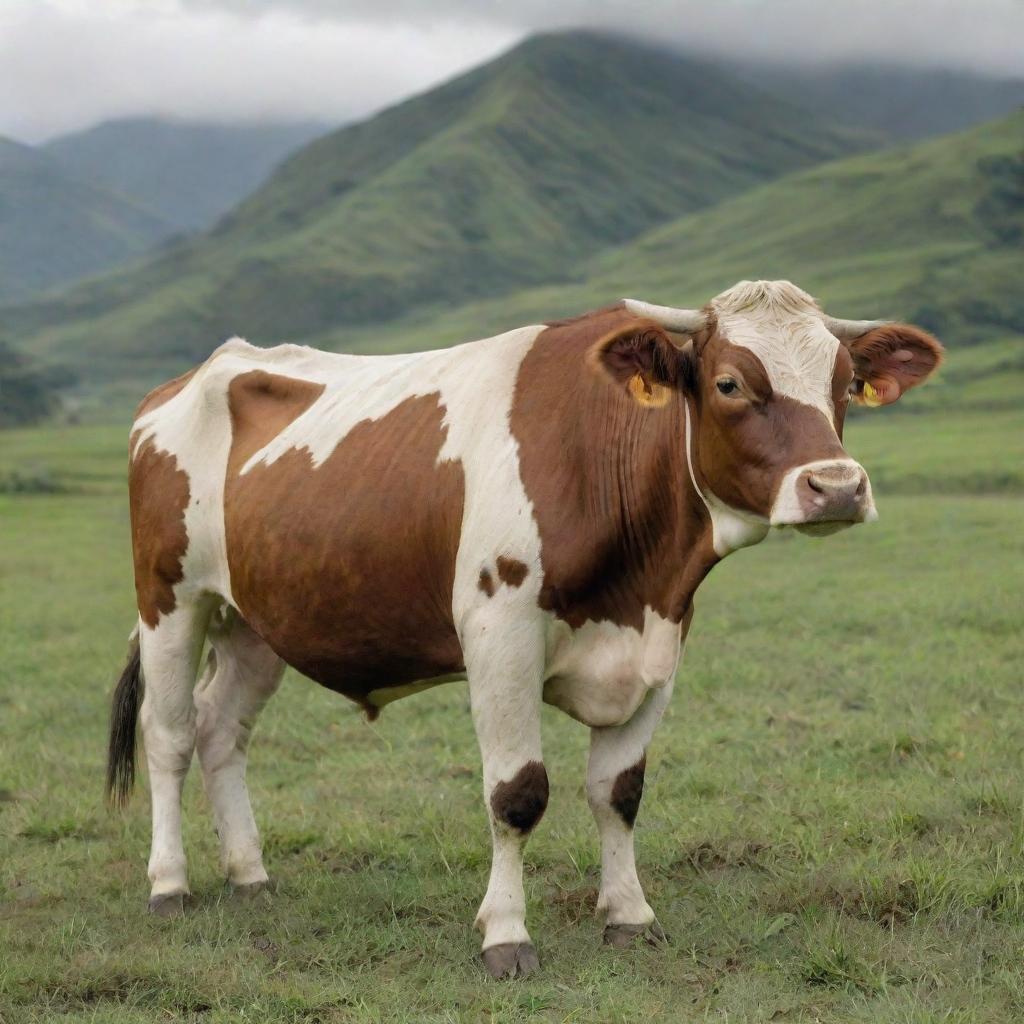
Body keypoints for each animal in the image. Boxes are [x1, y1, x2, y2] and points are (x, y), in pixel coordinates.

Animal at [105, 278, 942, 974]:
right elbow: (518, 793)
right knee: (171, 735)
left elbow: (619, 790)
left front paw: (630, 915)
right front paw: (506, 935)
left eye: (842, 385)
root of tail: (193, 377)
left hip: (256, 620)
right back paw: (170, 884)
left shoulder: (659, 644)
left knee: (222, 730)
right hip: (170, 598)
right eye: (730, 382)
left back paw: (250, 873)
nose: (837, 486)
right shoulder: (499, 635)